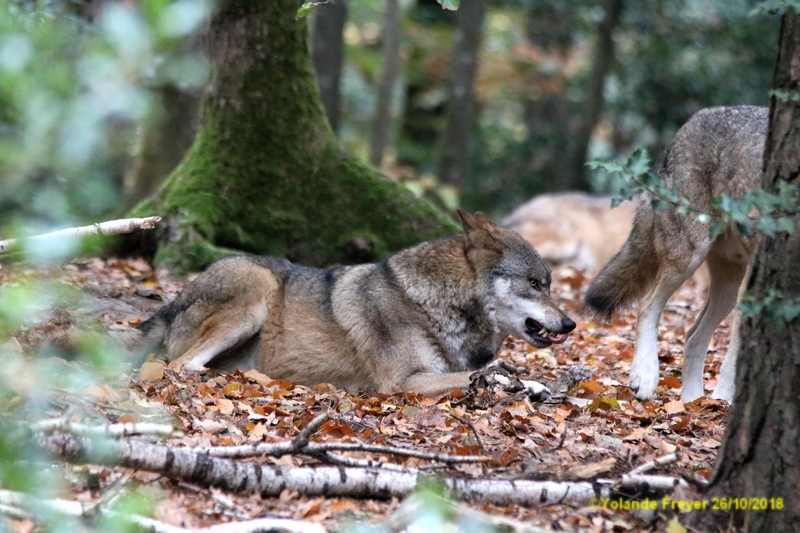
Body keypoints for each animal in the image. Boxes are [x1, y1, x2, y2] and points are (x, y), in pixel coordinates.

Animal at [126, 210, 576, 396]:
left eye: (550, 284)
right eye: (535, 283)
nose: (571, 324)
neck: (432, 304)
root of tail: (174, 302)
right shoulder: (402, 382)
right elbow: (479, 375)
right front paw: (527, 383)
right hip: (255, 291)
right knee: (180, 366)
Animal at [584, 105, 764, 404]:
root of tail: (689, 123)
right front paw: (725, 400)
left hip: (727, 290)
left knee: (692, 335)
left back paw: (693, 404)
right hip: (688, 258)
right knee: (648, 305)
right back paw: (646, 378)